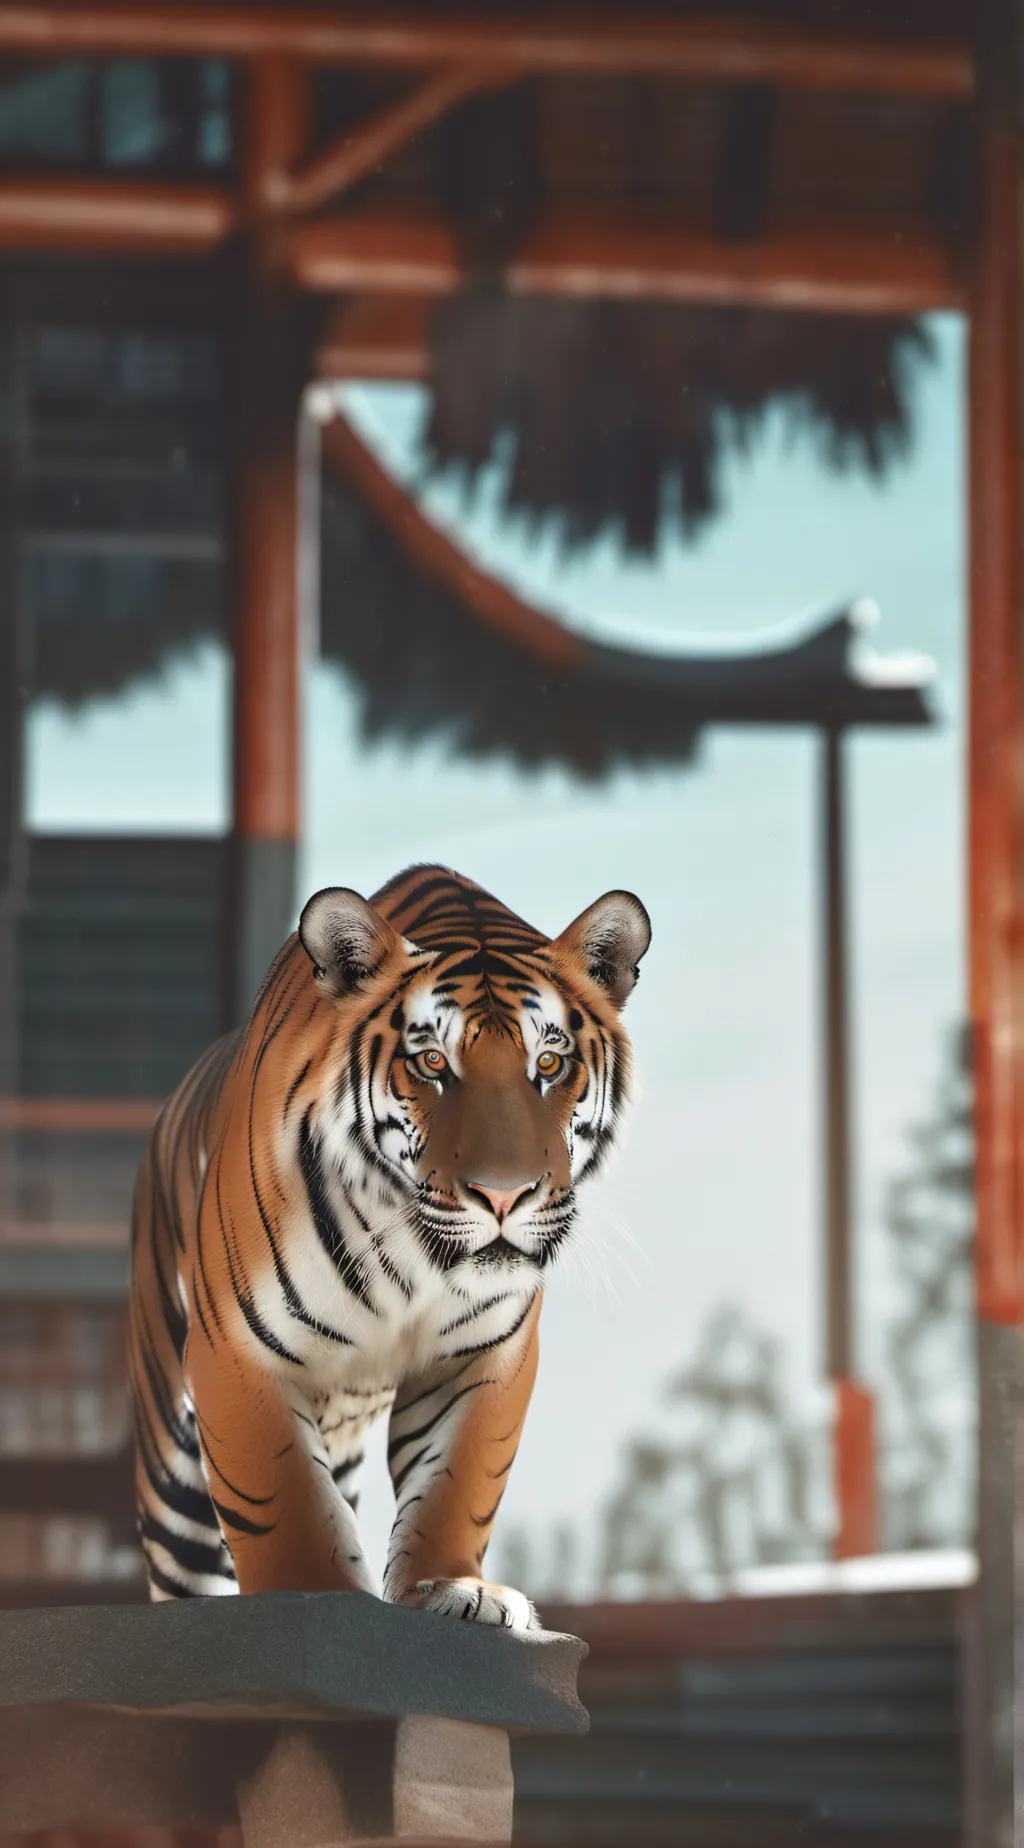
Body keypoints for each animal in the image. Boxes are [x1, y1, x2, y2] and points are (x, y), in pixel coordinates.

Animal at [128, 864, 650, 1629]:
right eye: (431, 1061)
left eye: (550, 1063)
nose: (504, 1195)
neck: (415, 1259)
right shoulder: (238, 1353)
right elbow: (279, 1497)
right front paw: (307, 1591)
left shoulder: (483, 1356)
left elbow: (459, 1484)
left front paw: (458, 1589)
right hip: (173, 1462)